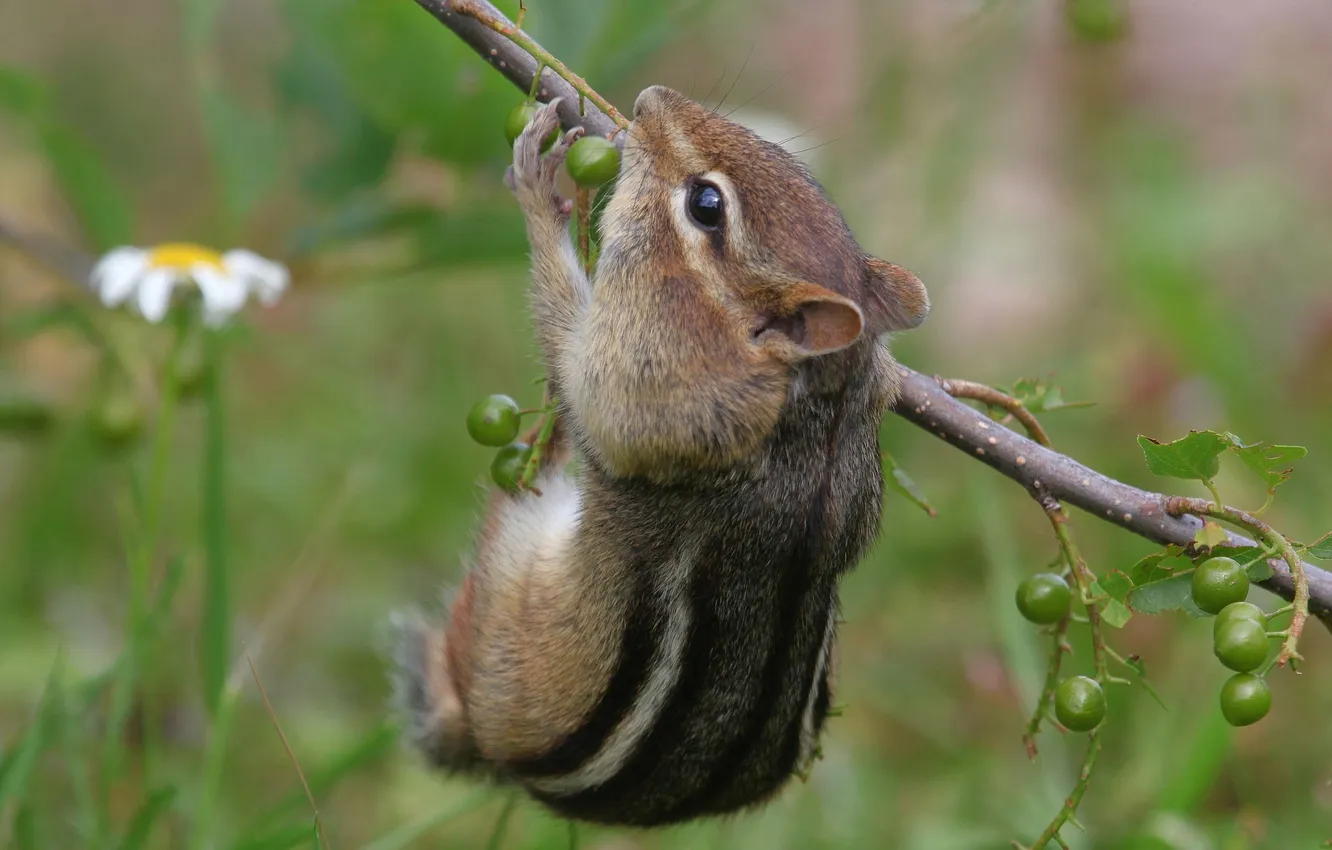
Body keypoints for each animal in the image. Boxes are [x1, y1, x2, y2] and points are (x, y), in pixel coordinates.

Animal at [392, 86, 929, 828]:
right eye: (778, 150)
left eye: (706, 205)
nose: (651, 100)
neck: (816, 403)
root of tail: (494, 755)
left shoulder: (649, 382)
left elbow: (577, 368)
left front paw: (539, 192)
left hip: (509, 597)